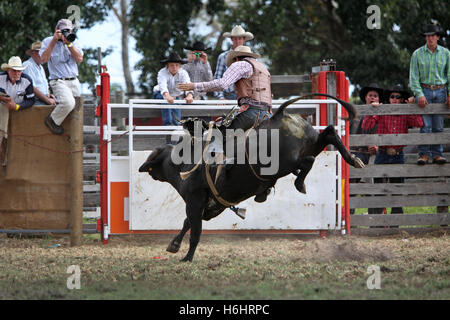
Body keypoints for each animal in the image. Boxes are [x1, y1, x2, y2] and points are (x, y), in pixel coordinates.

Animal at [139, 94, 364, 262]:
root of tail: (278, 116)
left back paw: (300, 183)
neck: (185, 164)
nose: (147, 171)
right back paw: (353, 159)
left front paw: (187, 257)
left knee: (306, 161)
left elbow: (195, 231)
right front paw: (174, 245)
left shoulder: (194, 201)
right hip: (311, 143)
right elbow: (188, 223)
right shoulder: (210, 207)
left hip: (283, 163)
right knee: (329, 133)